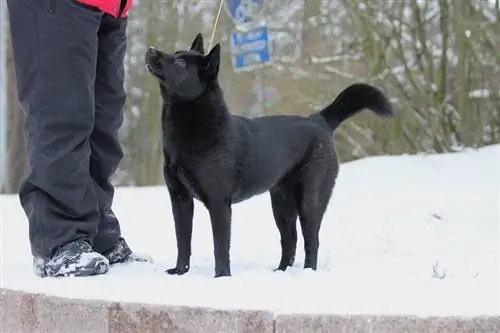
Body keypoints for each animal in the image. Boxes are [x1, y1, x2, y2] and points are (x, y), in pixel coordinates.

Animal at [145, 33, 394, 278]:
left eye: (180, 62)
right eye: (176, 53)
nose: (150, 50)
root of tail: (319, 120)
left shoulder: (219, 203)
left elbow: (220, 246)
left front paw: (221, 277)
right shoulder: (180, 199)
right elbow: (182, 241)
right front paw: (180, 271)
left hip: (309, 199)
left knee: (311, 240)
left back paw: (307, 273)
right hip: (281, 203)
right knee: (290, 239)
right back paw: (281, 272)